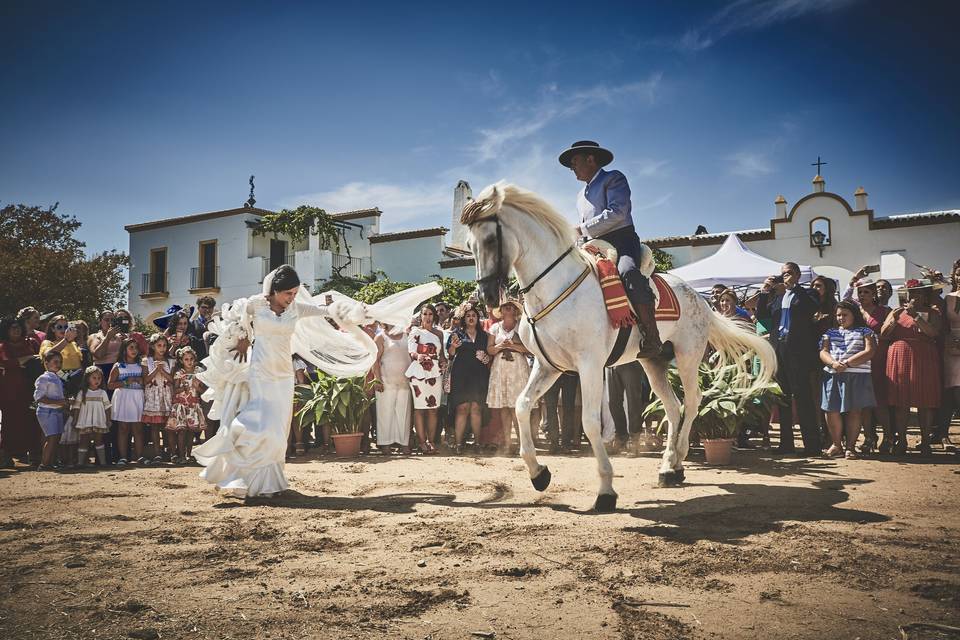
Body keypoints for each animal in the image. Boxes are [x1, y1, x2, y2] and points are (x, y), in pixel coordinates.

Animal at [462, 182, 776, 512]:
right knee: (672, 406)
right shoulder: (548, 366)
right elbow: (522, 406)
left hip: (688, 356)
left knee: (692, 402)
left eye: (490, 239)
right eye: (469, 244)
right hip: (653, 362)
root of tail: (699, 298)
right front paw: (539, 473)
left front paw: (606, 491)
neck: (557, 286)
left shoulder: (589, 366)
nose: (487, 297)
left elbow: (589, 422)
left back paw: (677, 460)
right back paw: (670, 467)